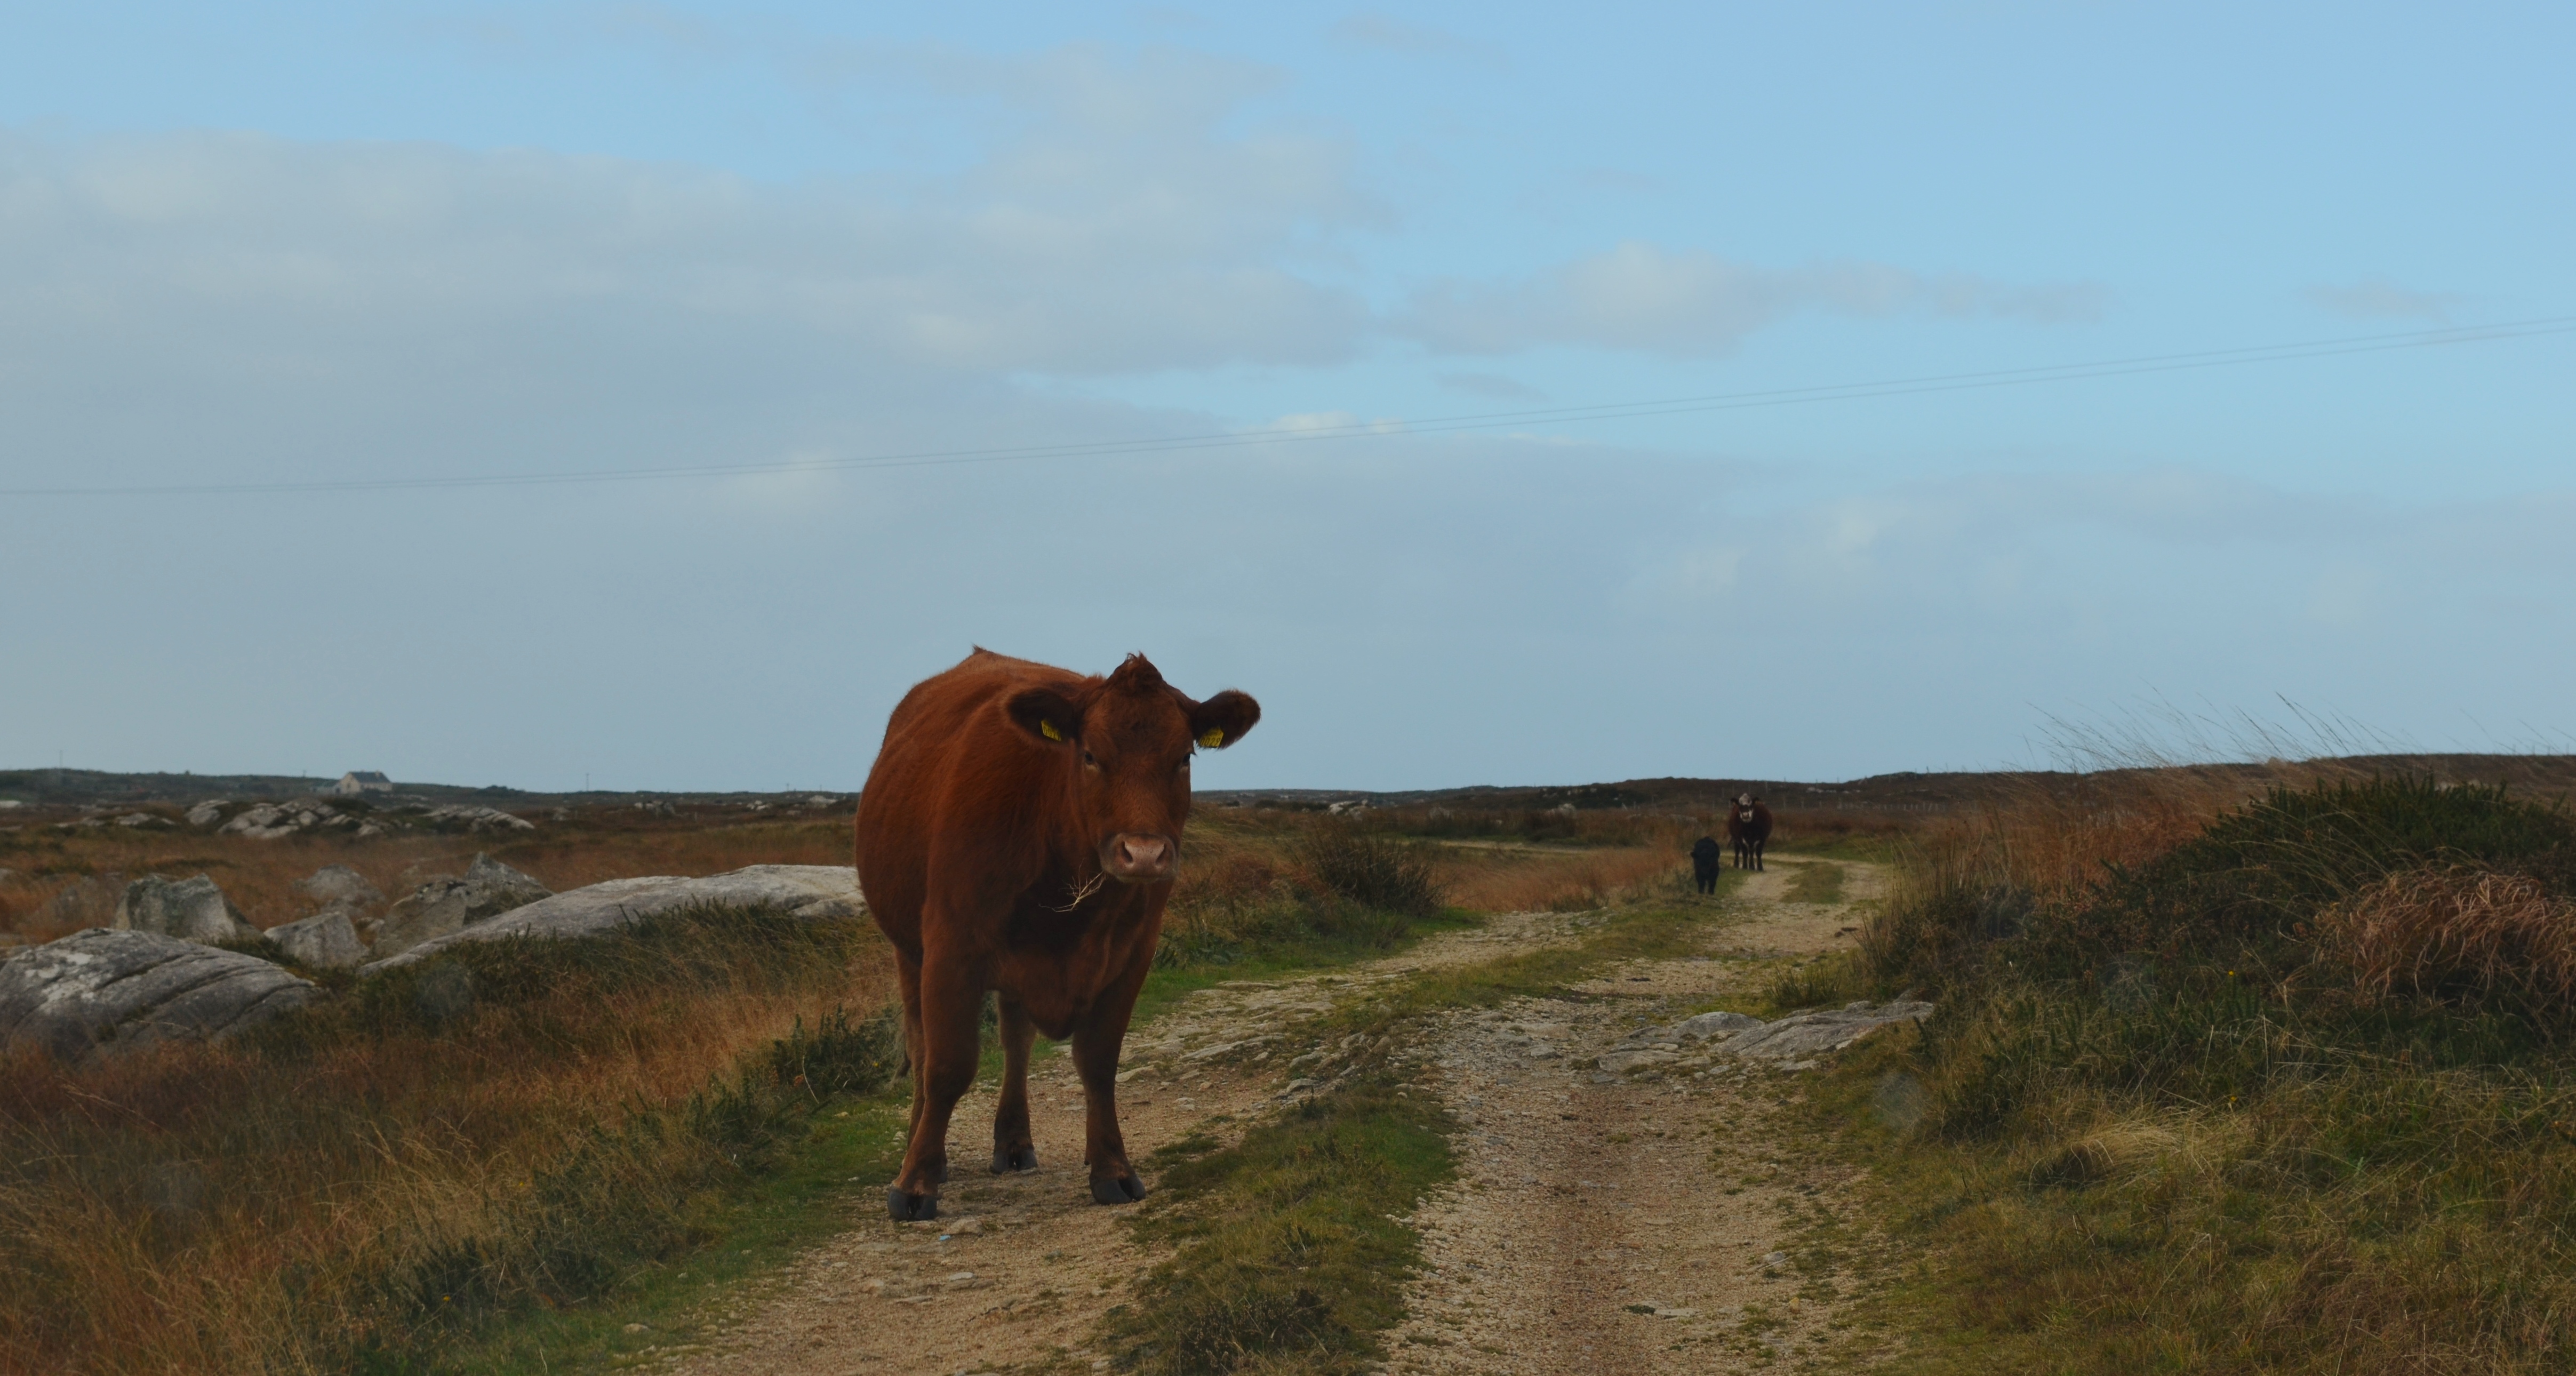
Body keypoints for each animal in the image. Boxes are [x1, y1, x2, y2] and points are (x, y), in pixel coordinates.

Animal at [855, 652, 1257, 1226]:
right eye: (1089, 755)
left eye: (1184, 757)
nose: (1144, 854)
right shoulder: (951, 948)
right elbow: (949, 1065)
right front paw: (916, 1183)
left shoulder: (1133, 954)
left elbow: (1099, 1062)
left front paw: (1112, 1167)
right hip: (908, 948)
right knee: (921, 1043)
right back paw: (920, 1144)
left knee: (1016, 1041)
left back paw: (1014, 1143)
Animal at [1731, 794, 1772, 871]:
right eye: (1740, 806)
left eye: (1751, 806)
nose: (1745, 815)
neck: (1750, 829)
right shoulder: (1740, 838)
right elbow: (1745, 853)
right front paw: (1745, 866)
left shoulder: (1762, 839)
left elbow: (1758, 853)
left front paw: (1760, 867)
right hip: (1735, 839)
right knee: (1737, 850)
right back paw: (1737, 864)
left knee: (1751, 852)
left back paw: (1752, 866)